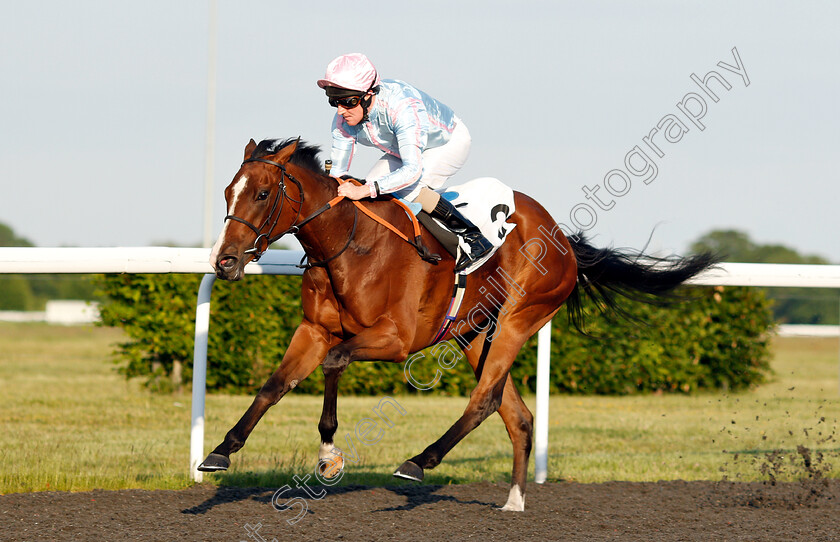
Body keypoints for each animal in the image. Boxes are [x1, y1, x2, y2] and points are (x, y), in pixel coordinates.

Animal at [199, 138, 716, 512]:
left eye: (263, 193)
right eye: (227, 192)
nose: (224, 261)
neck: (349, 243)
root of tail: (564, 240)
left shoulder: (396, 339)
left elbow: (334, 362)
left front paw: (329, 456)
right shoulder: (313, 330)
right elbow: (275, 384)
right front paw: (221, 451)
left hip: (517, 319)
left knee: (484, 400)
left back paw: (419, 461)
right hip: (472, 334)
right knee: (517, 415)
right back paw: (513, 501)